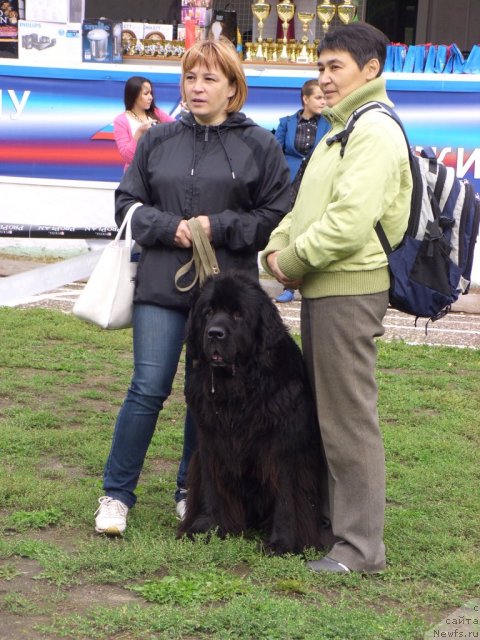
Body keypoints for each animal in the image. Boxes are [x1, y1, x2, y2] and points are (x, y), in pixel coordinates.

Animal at [177, 270, 334, 556]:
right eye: (208, 312)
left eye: (238, 314)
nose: (214, 333)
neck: (237, 388)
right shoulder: (211, 441)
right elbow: (211, 484)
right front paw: (208, 527)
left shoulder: (284, 447)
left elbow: (286, 495)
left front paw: (283, 543)